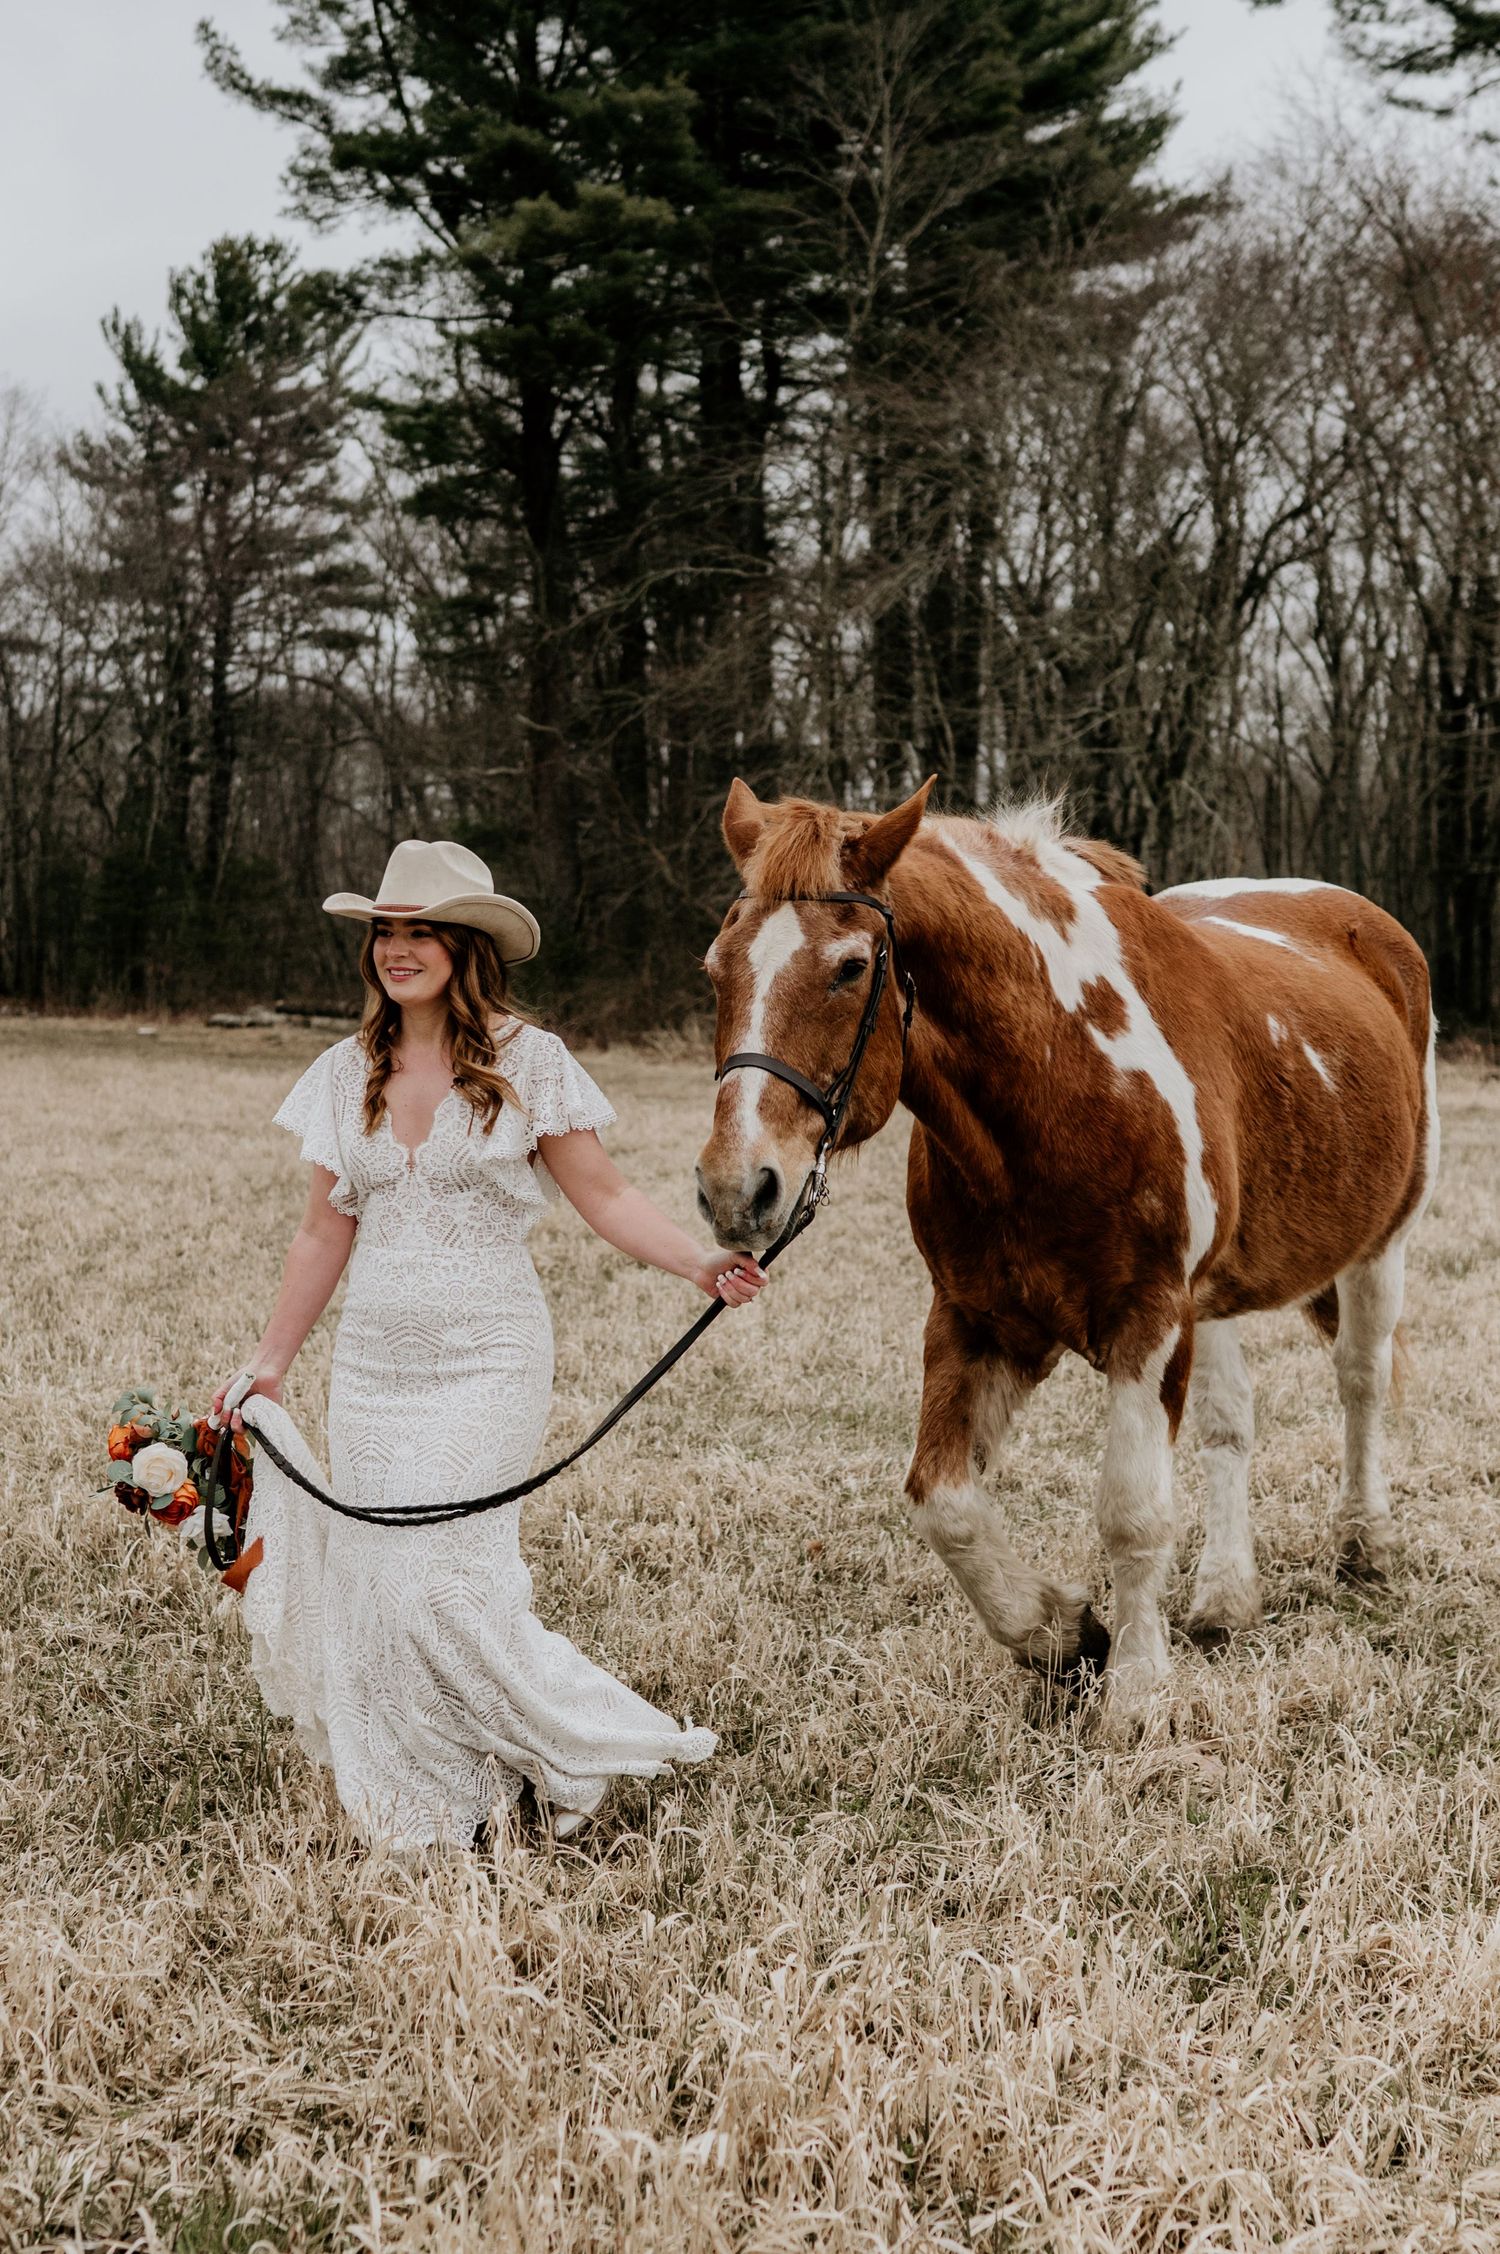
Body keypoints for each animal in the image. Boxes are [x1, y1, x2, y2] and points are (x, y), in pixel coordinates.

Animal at [693, 779, 1438, 1724]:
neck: (1062, 1076)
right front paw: (1060, 1634)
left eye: (851, 967)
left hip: (1385, 1241)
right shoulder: (977, 1321)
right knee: (1231, 1422)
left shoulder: (1148, 1322)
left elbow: (1132, 1511)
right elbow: (943, 1504)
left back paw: (1363, 1544)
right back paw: (1225, 1597)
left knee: (1360, 1380)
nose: (735, 1190)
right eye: (715, 968)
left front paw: (1137, 1692)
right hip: (1213, 1301)